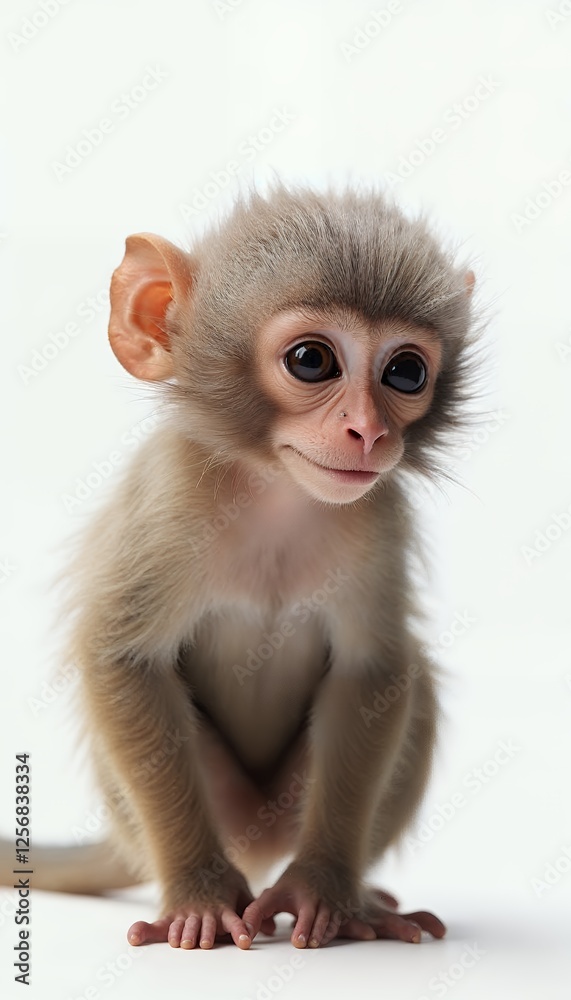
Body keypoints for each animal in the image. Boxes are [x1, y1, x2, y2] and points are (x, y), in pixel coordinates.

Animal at [2, 184, 480, 951]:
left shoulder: (379, 517)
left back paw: (365, 898)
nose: (369, 432)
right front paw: (198, 895)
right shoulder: (168, 494)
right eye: (312, 361)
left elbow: (374, 670)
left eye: (405, 372)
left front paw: (323, 890)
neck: (275, 494)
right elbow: (121, 658)